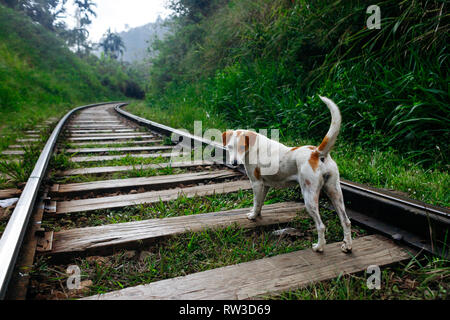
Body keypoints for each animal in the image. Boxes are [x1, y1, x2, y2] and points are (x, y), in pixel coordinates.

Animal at [223, 95, 354, 252]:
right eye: (230, 147)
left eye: (242, 147)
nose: (234, 162)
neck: (254, 147)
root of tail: (317, 152)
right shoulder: (265, 185)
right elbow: (260, 203)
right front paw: (258, 214)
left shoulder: (256, 183)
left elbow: (256, 202)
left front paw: (253, 216)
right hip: (335, 192)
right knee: (346, 221)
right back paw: (347, 245)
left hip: (309, 197)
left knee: (321, 226)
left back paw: (319, 247)